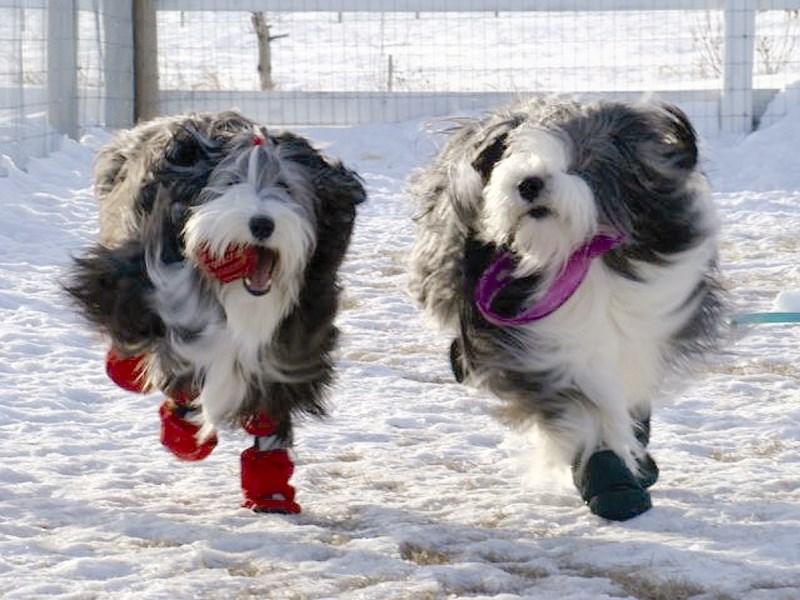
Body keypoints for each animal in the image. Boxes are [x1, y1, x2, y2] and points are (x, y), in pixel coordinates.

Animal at [65, 110, 366, 512]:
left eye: (286, 187)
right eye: (231, 181)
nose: (261, 223)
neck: (237, 298)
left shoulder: (294, 342)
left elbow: (269, 410)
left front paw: (270, 490)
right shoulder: (149, 281)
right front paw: (183, 431)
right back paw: (127, 370)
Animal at [410, 97, 728, 520]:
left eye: (585, 157)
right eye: (511, 153)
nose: (529, 182)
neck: (575, 257)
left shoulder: (645, 324)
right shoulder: (535, 347)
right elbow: (584, 408)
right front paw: (610, 480)